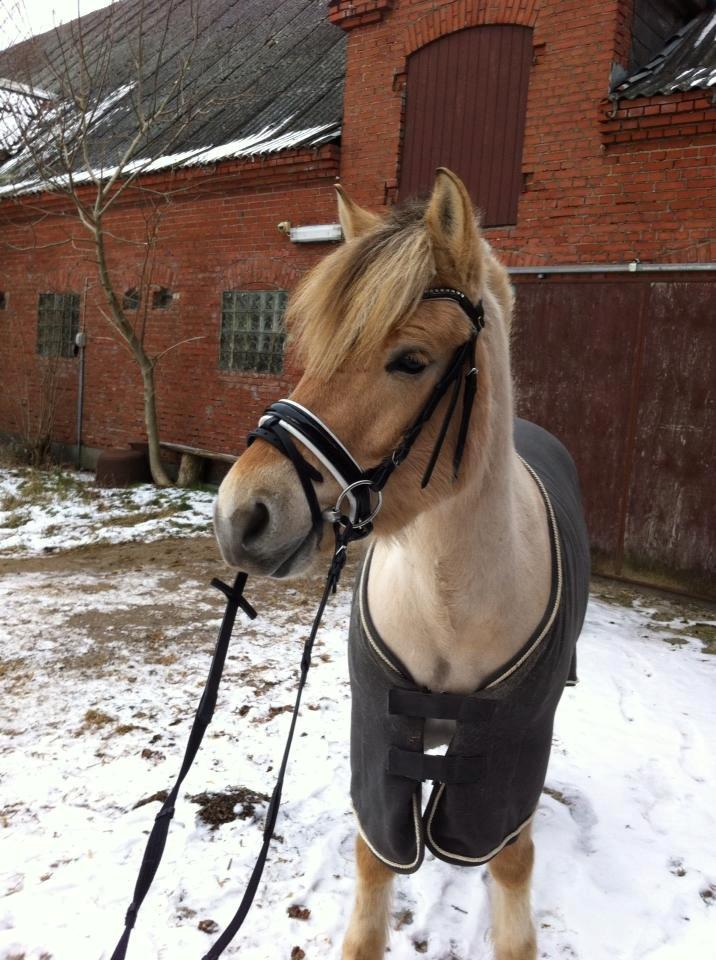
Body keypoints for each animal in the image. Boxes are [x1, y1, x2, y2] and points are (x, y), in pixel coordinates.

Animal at [213, 171, 588, 960]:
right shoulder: (381, 741)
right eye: (320, 347)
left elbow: (510, 862)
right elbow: (375, 865)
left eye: (410, 360)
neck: (449, 604)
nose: (240, 515)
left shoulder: (506, 756)